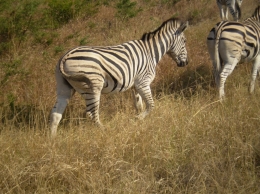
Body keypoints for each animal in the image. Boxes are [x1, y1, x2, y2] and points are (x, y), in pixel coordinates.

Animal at [49, 17, 189, 137]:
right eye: (185, 41)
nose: (186, 63)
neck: (150, 52)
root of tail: (65, 56)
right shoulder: (143, 82)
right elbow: (151, 105)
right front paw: (137, 119)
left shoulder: (135, 86)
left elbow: (139, 106)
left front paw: (139, 123)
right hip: (92, 86)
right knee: (91, 113)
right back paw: (104, 131)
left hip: (64, 88)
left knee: (56, 113)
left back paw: (52, 140)